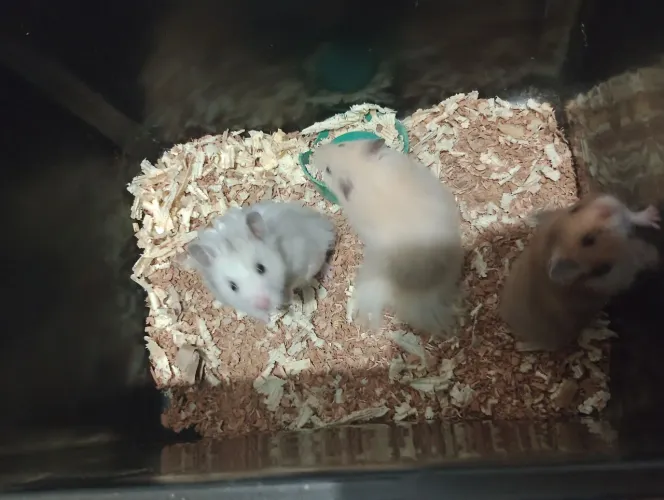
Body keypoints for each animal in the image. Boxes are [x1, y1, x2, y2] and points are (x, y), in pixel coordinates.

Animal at [184, 201, 336, 322]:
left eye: (261, 268)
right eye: (232, 286)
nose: (264, 305)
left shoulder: (300, 261)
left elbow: (292, 283)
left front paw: (287, 298)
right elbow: (254, 311)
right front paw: (268, 319)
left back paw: (328, 273)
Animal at [500, 193, 661, 352]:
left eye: (575, 209)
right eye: (588, 240)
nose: (609, 208)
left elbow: (632, 215)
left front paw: (655, 215)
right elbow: (636, 255)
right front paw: (654, 254)